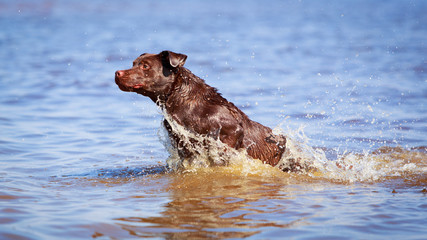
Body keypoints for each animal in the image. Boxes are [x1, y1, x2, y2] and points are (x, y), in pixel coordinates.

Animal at [117, 50, 290, 170]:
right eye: (133, 63)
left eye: (145, 66)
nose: (117, 73)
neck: (179, 99)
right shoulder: (180, 143)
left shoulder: (231, 131)